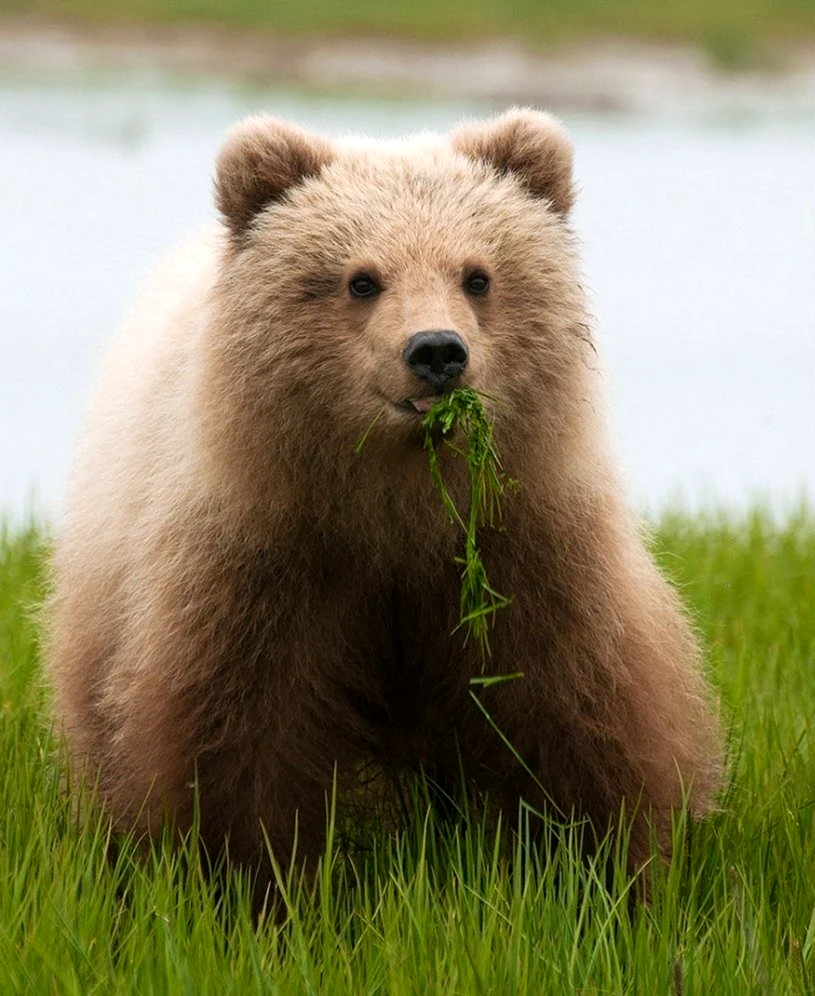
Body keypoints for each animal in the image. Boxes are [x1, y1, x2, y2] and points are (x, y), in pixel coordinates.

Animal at [47, 108, 723, 900]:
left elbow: (575, 708)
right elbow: (238, 737)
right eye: (361, 280)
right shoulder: (269, 555)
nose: (436, 351)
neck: (399, 505)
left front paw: (599, 873)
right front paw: (248, 884)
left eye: (477, 275)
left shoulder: (520, 547)